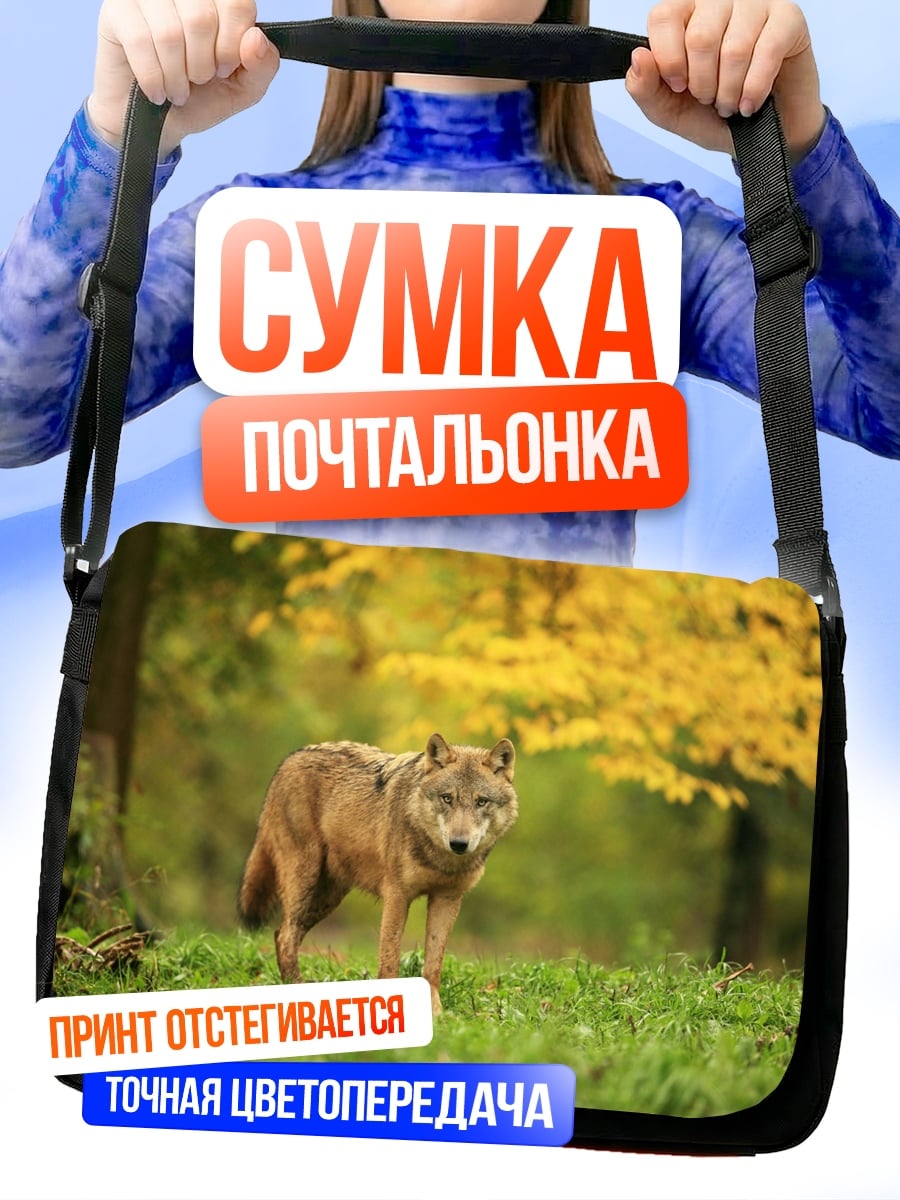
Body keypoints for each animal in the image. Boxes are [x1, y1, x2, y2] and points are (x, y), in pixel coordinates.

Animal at [238, 732, 518, 1014]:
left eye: (481, 801)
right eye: (447, 798)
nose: (459, 844)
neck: (440, 859)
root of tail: (289, 759)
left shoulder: (447, 899)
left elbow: (433, 965)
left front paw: (436, 1013)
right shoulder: (396, 895)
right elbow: (390, 958)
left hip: (326, 898)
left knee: (281, 933)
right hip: (305, 880)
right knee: (286, 936)